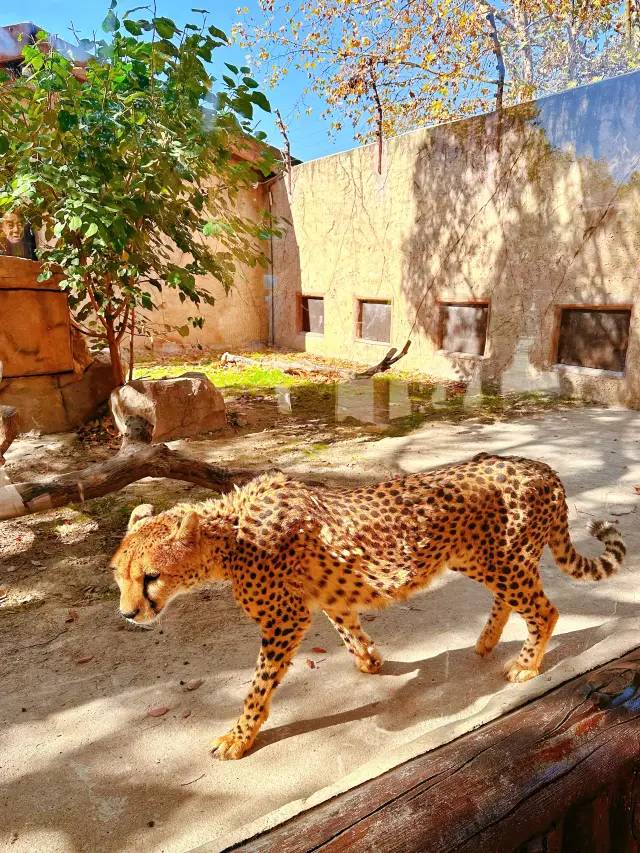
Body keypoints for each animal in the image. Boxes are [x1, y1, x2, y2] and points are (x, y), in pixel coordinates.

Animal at [110, 452, 624, 760]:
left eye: (151, 577)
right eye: (120, 575)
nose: (129, 614)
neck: (228, 537)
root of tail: (539, 465)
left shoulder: (284, 618)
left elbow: (257, 687)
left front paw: (238, 737)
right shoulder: (324, 597)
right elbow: (346, 625)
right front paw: (370, 661)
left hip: (500, 559)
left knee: (544, 609)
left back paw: (526, 665)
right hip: (480, 558)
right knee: (515, 599)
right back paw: (485, 641)